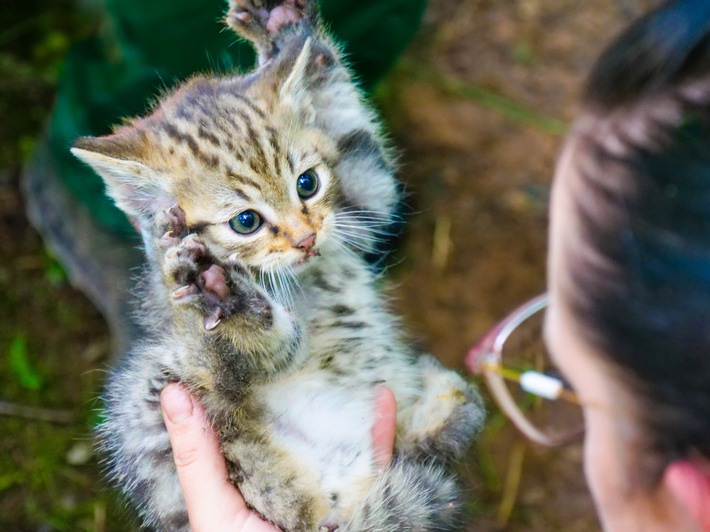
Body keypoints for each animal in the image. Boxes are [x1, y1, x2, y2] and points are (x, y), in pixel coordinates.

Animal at [72, 2, 486, 528]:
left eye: (307, 183)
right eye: (246, 221)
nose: (306, 239)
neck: (307, 272)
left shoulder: (365, 207)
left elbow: (355, 132)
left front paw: (285, 31)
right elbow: (266, 350)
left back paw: (445, 408)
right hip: (156, 394)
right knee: (222, 373)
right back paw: (227, 301)